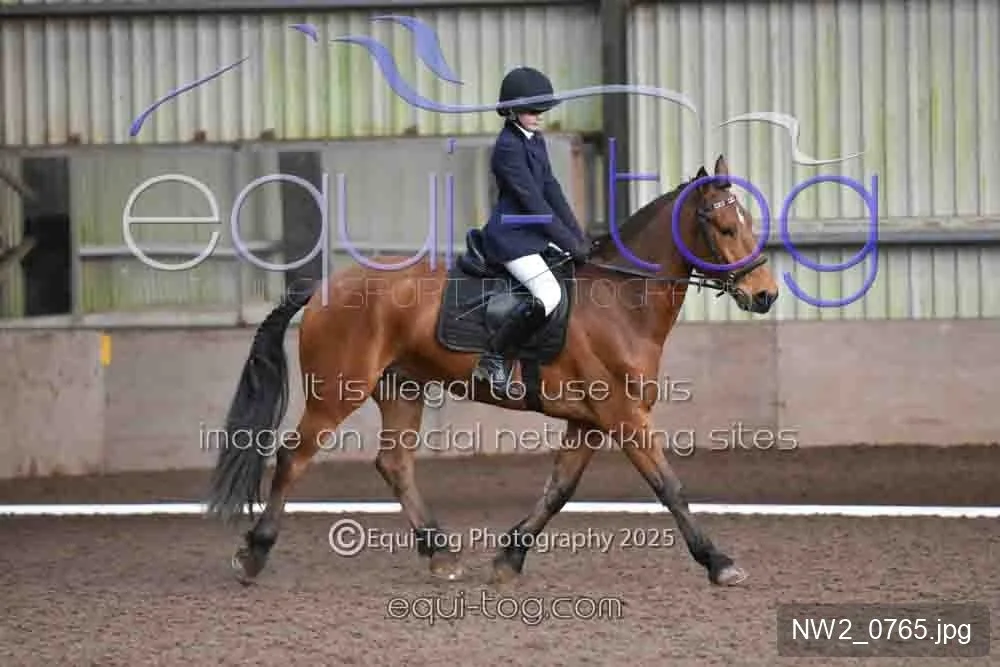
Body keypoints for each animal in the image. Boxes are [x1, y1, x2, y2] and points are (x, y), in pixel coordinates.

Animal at [207, 154, 779, 588]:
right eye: (725, 227)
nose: (766, 295)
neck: (621, 301)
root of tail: (325, 288)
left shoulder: (590, 421)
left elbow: (559, 491)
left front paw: (509, 558)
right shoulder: (623, 415)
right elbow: (669, 487)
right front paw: (719, 563)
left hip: (402, 388)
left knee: (395, 465)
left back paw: (441, 555)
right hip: (335, 394)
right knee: (292, 459)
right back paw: (253, 555)